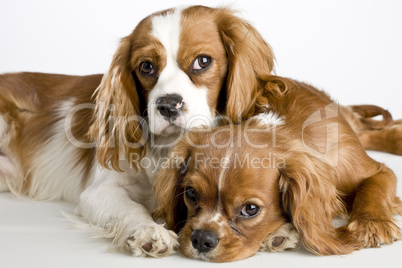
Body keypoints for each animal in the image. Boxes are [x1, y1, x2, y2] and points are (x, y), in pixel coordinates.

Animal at [0, 4, 402, 258]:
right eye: (146, 67)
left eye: (202, 61)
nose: (167, 104)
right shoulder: (100, 190)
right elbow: (130, 209)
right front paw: (148, 231)